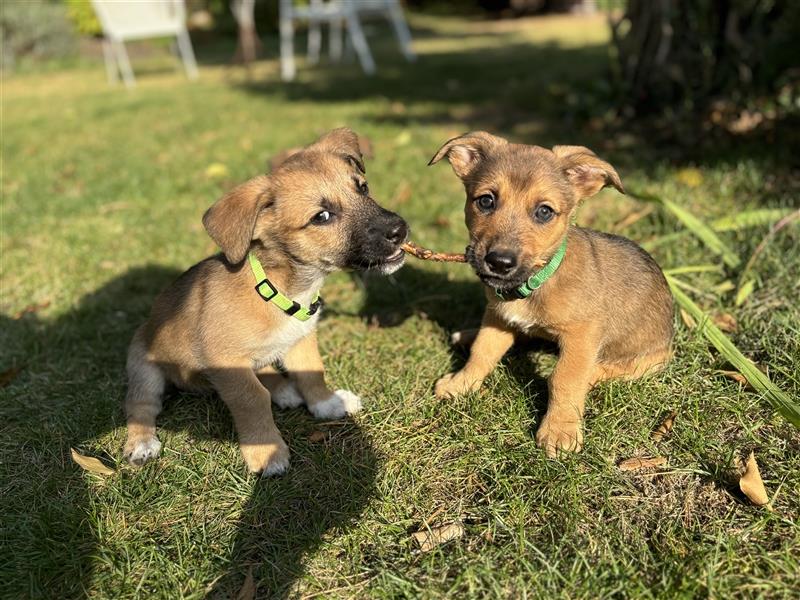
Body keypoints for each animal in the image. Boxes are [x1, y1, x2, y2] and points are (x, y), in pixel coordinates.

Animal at [122, 129, 410, 476]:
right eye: (322, 216)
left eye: (363, 187)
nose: (399, 230)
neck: (279, 290)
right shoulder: (228, 363)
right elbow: (252, 399)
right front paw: (267, 452)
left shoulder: (301, 340)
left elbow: (312, 371)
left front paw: (327, 403)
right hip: (144, 365)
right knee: (140, 405)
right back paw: (141, 442)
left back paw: (283, 389)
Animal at [432, 132, 676, 454]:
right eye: (485, 201)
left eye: (544, 211)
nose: (499, 262)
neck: (535, 283)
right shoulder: (498, 318)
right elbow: (482, 353)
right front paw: (460, 384)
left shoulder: (582, 335)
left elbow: (565, 378)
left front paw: (560, 430)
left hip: (649, 359)